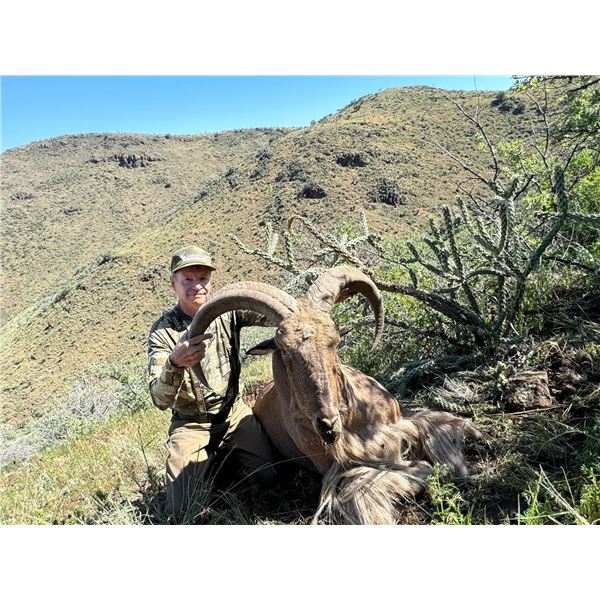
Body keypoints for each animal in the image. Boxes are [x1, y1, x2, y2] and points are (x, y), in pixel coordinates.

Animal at [188, 266, 479, 524]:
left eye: (334, 340)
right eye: (284, 350)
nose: (328, 425)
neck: (354, 424)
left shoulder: (400, 418)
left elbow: (434, 425)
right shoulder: (339, 468)